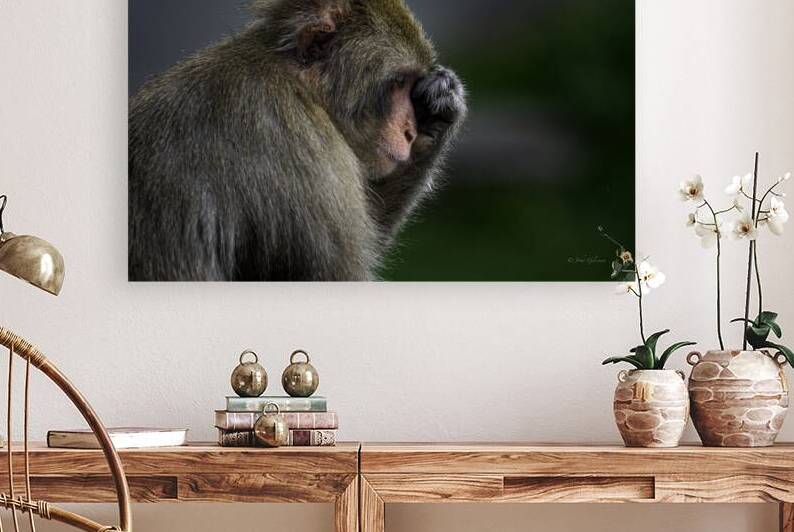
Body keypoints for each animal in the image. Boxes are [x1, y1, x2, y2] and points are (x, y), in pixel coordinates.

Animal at [128, 0, 466, 282]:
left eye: (411, 87)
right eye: (398, 82)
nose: (410, 132)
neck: (299, 84)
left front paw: (439, 111)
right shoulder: (308, 147)